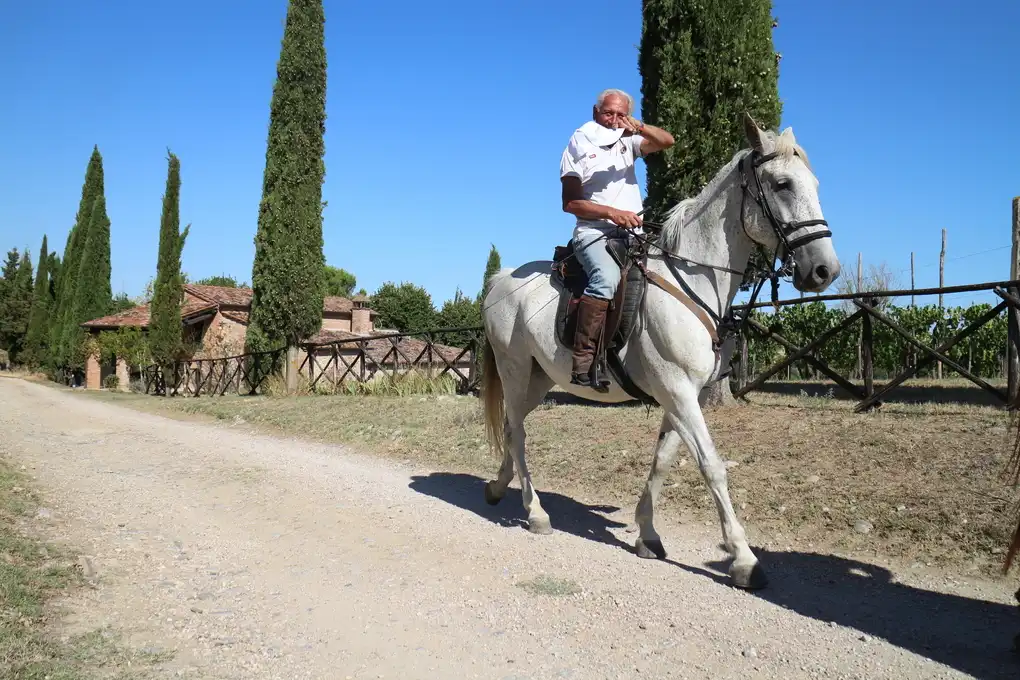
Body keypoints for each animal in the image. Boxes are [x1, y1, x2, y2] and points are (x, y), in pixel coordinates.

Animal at [478, 113, 842, 589]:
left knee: (510, 427)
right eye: (782, 184)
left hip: (539, 379)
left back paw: (499, 487)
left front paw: (647, 534)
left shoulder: (682, 394)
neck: (694, 276)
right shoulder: (678, 390)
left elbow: (664, 460)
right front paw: (743, 558)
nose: (824, 270)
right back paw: (535, 512)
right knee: (518, 433)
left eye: (814, 183)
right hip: (515, 369)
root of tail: (501, 280)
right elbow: (711, 464)